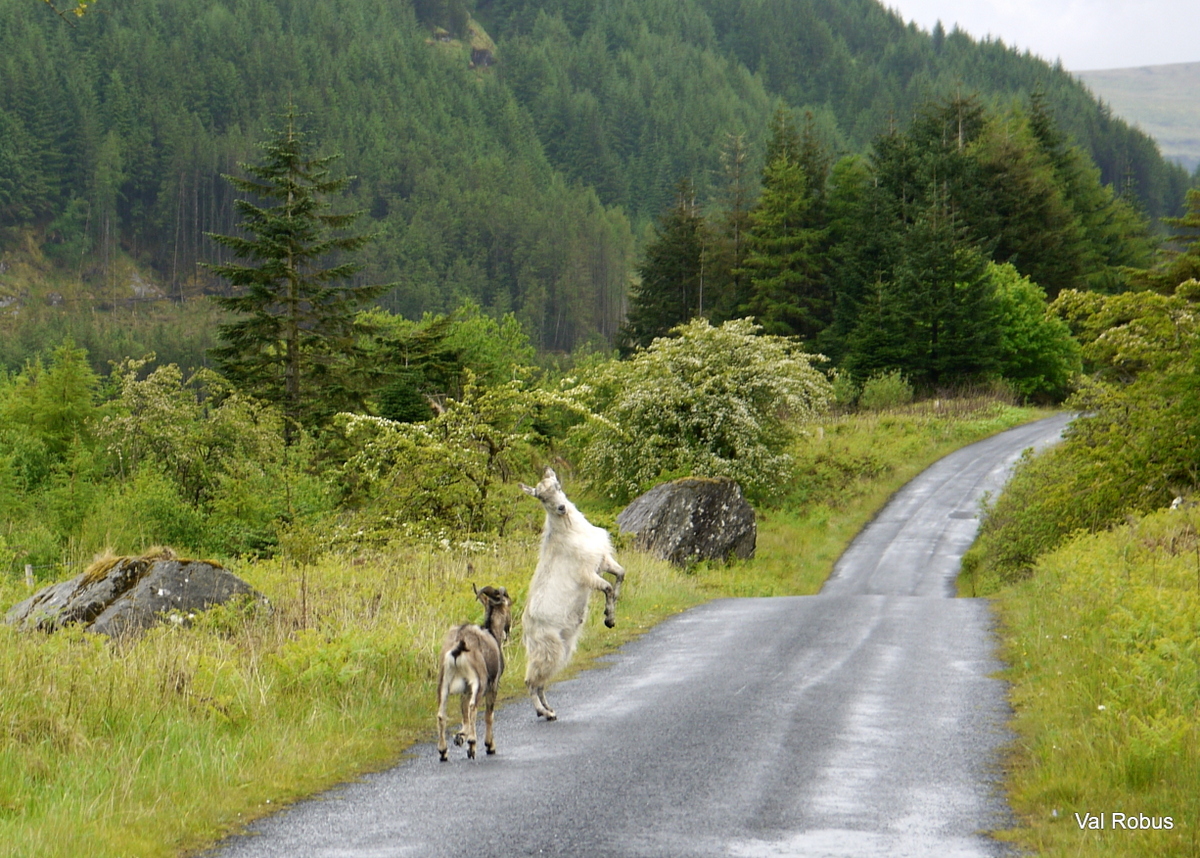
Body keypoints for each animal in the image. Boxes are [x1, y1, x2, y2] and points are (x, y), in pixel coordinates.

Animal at [436, 583, 512, 761]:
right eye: (509, 604)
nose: (508, 629)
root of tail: (459, 646)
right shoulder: (493, 685)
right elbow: (488, 715)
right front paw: (490, 746)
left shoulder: (466, 689)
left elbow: (463, 713)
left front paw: (460, 736)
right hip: (479, 681)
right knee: (473, 707)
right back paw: (472, 744)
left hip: (444, 680)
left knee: (441, 714)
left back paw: (443, 751)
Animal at [520, 467, 626, 721]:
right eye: (540, 497)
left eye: (558, 486)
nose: (561, 507)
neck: (569, 529)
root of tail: (526, 631)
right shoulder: (586, 573)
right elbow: (607, 587)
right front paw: (608, 617)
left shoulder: (602, 560)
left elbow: (620, 575)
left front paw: (612, 614)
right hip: (548, 647)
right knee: (530, 681)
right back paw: (543, 712)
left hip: (562, 647)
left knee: (541, 681)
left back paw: (549, 710)